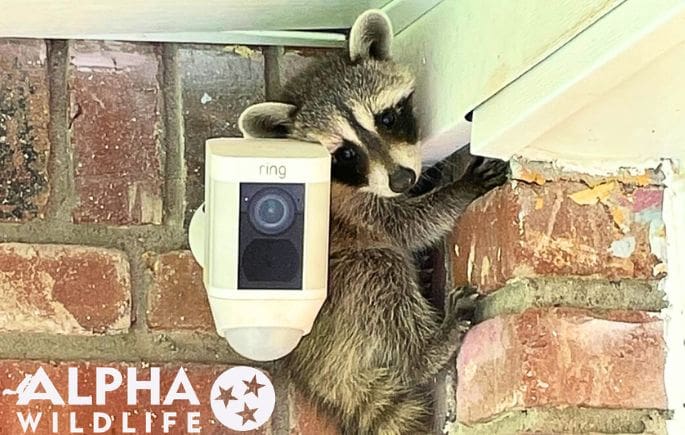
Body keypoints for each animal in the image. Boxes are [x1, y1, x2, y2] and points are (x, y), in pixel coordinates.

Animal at [238, 10, 508, 435]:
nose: (403, 180)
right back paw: (428, 349)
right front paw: (459, 189)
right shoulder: (349, 206)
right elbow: (408, 225)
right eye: (345, 153)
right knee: (380, 269)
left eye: (387, 117)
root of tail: (313, 369)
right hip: (337, 295)